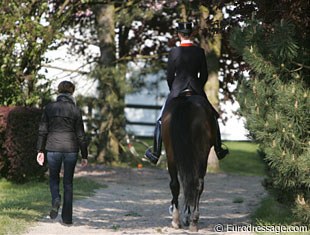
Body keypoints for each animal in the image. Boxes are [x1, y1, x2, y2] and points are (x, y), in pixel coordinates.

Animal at [162, 93, 216, 231]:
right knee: (196, 183)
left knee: (177, 184)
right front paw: (187, 215)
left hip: (172, 155)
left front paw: (184, 215)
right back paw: (193, 220)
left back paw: (177, 219)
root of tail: (186, 102)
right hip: (201, 156)